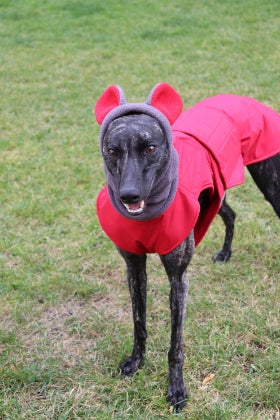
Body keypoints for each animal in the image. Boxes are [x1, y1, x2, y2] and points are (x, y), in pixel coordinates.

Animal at [94, 83, 280, 414]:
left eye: (150, 148)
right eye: (112, 150)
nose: (129, 195)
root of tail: (243, 98)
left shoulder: (178, 279)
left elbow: (175, 345)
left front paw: (176, 389)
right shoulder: (133, 266)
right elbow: (138, 321)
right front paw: (136, 361)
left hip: (269, 180)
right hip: (214, 197)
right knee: (230, 214)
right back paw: (225, 253)